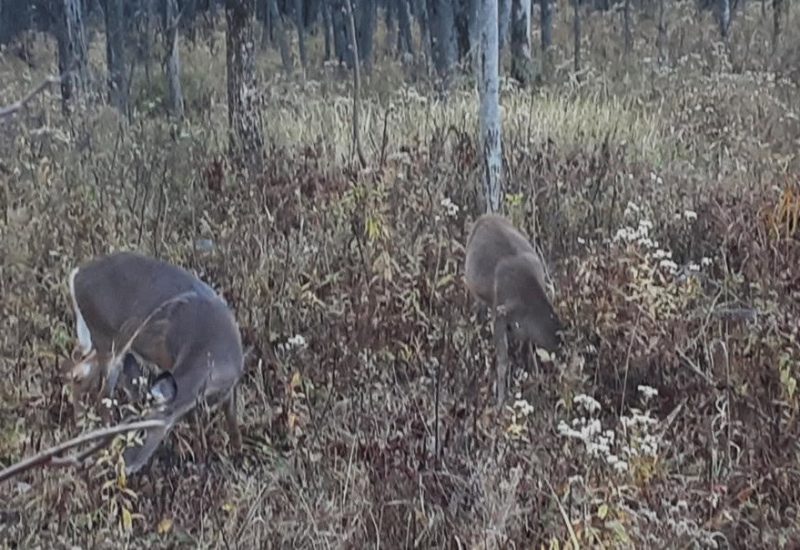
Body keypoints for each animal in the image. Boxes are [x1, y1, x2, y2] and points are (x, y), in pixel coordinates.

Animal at [67, 253, 244, 474]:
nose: (125, 466)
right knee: (102, 397)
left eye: (142, 431)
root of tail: (76, 275)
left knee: (78, 373)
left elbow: (231, 421)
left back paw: (80, 426)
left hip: (107, 342)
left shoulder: (227, 389)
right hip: (107, 339)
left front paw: (237, 455)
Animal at [462, 213, 564, 408]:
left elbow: (530, 352)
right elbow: (503, 361)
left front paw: (536, 382)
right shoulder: (500, 312)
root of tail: (484, 217)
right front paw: (500, 403)